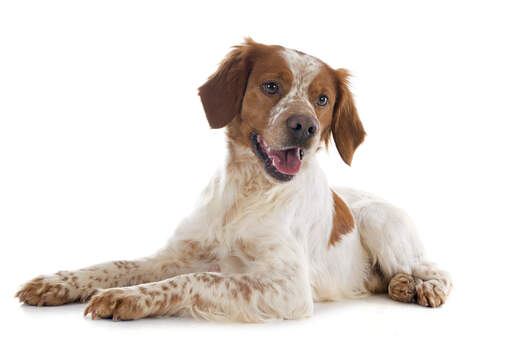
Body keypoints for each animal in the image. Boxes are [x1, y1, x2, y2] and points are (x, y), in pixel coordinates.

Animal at [15, 39, 452, 322]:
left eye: (322, 99)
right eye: (271, 86)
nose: (305, 127)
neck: (247, 192)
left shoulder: (289, 287)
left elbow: (197, 279)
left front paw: (128, 298)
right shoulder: (176, 254)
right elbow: (116, 263)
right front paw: (58, 282)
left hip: (380, 222)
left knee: (435, 268)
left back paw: (423, 287)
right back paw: (400, 286)